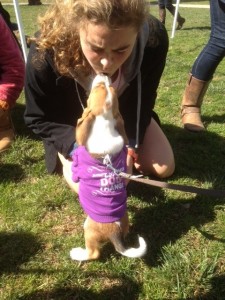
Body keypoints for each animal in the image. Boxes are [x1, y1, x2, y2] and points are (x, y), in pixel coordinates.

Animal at [68, 74, 148, 262]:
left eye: (99, 87)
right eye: (109, 89)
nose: (104, 74)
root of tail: (115, 232)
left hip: (88, 229)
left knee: (94, 254)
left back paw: (78, 254)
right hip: (124, 223)